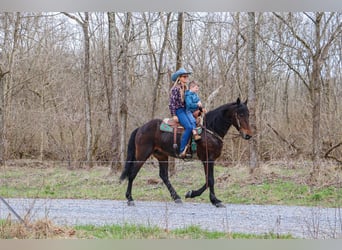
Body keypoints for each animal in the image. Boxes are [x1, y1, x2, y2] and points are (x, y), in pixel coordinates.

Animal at [119, 97, 251, 207]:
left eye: (248, 114)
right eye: (240, 114)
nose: (248, 135)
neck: (210, 129)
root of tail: (141, 128)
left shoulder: (208, 160)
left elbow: (207, 181)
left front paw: (191, 193)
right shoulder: (208, 159)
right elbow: (210, 180)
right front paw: (215, 201)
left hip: (162, 155)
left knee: (164, 176)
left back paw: (176, 197)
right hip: (142, 155)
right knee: (132, 174)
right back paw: (130, 199)